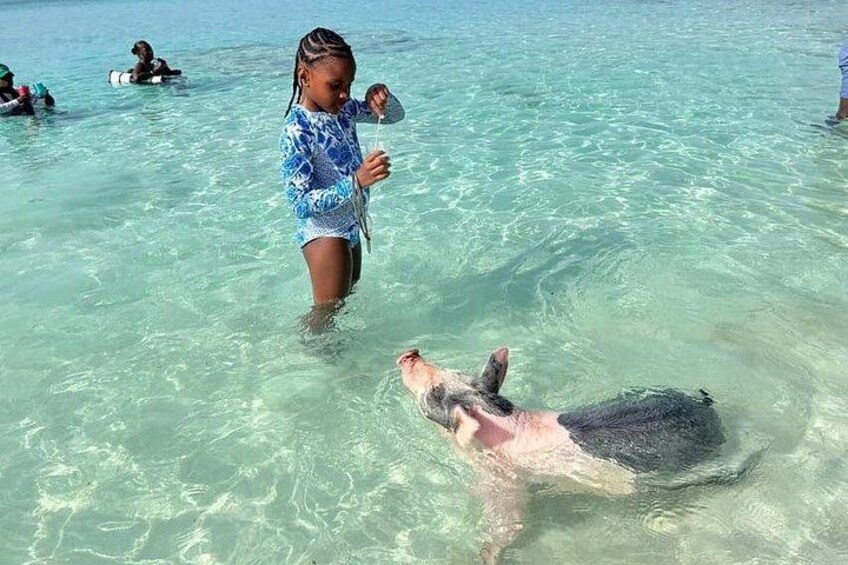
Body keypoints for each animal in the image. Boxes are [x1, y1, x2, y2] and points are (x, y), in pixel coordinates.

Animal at [397, 347, 739, 563]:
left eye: (434, 393)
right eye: (448, 374)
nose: (410, 354)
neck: (504, 424)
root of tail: (708, 410)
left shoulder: (508, 484)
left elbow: (508, 524)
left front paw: (482, 556)